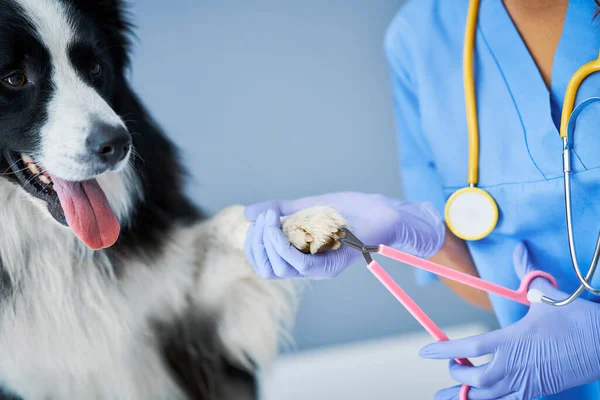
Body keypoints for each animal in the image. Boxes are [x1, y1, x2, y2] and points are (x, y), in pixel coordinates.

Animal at [0, 1, 346, 398]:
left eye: (94, 68)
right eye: (14, 78)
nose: (119, 144)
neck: (43, 242)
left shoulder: (188, 325)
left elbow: (224, 229)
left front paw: (300, 224)